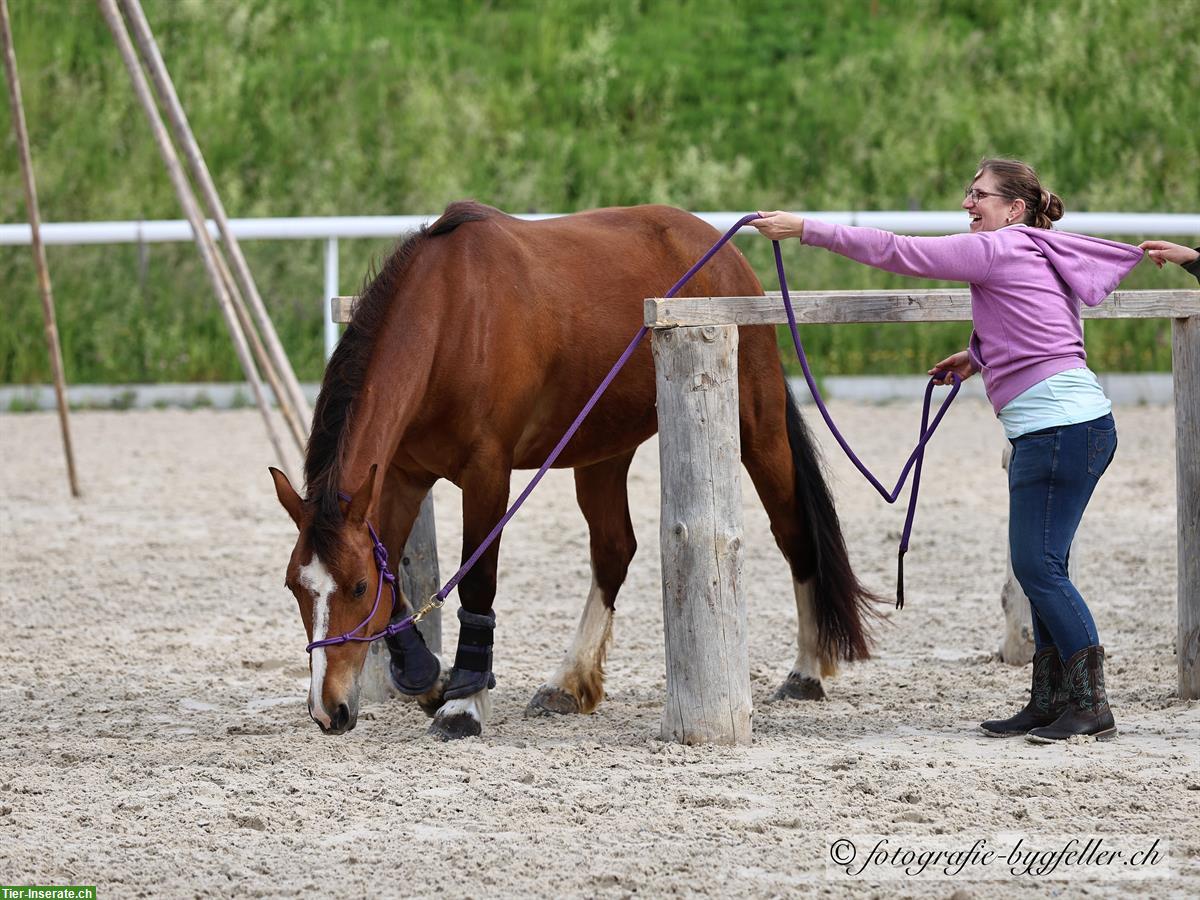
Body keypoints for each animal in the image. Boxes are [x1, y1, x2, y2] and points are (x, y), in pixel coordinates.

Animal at [270, 204, 873, 739]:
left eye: (354, 588)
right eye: (295, 587)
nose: (328, 710)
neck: (451, 320)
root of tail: (722, 251)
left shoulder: (487, 473)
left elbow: (477, 580)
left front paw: (463, 705)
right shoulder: (399, 476)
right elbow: (393, 576)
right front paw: (429, 680)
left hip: (757, 426)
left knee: (794, 533)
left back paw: (807, 671)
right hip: (603, 452)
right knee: (613, 550)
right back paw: (568, 681)